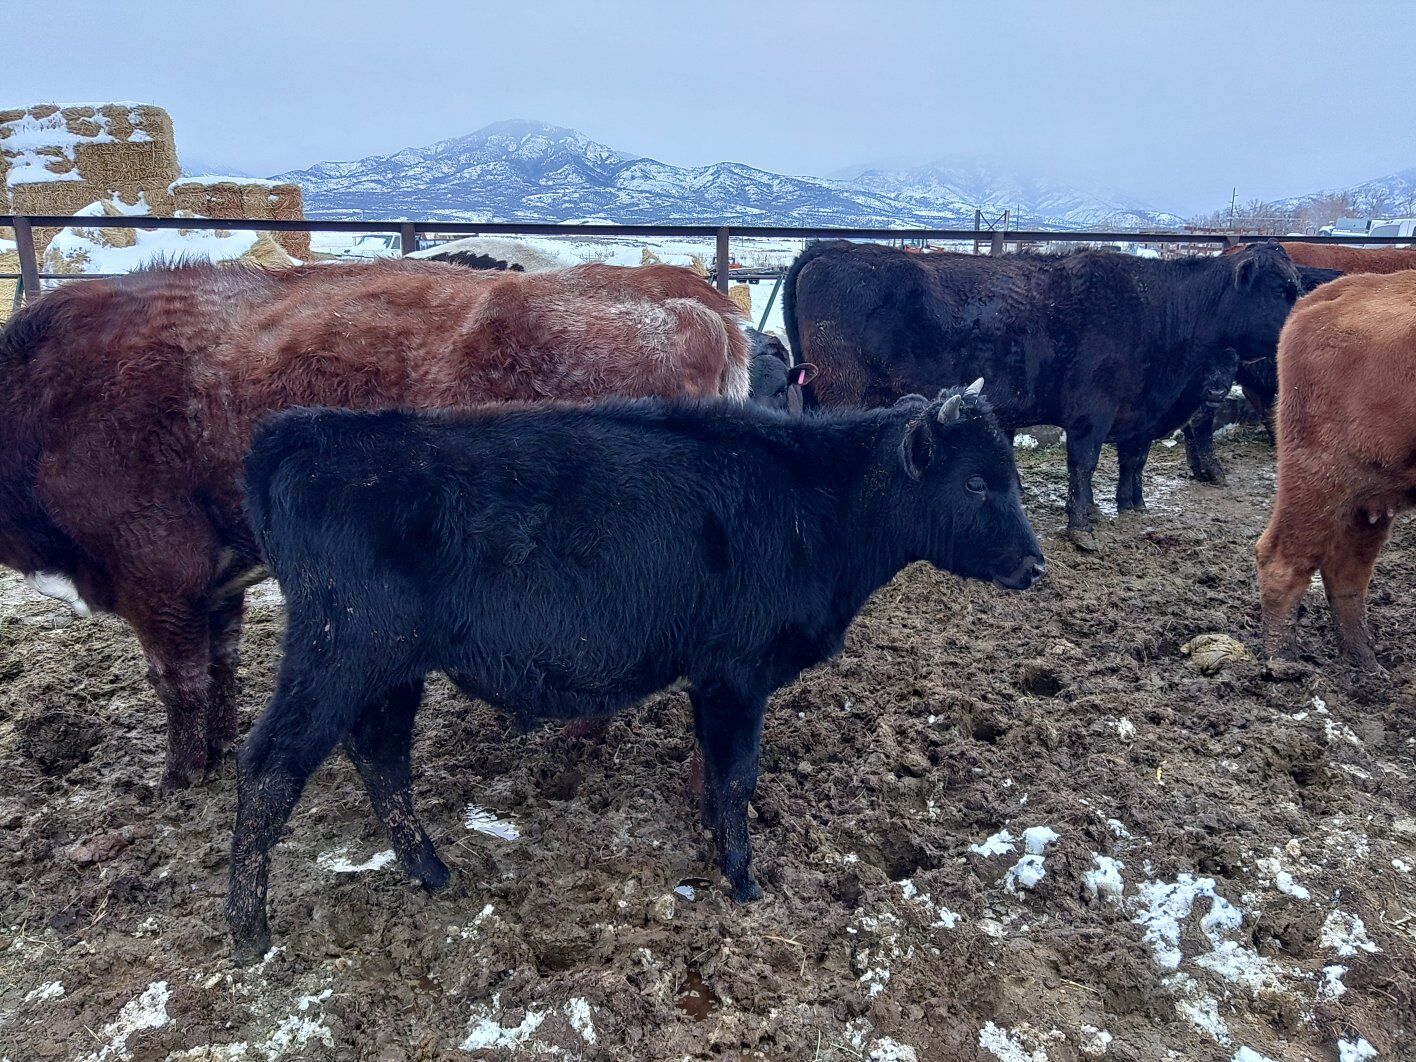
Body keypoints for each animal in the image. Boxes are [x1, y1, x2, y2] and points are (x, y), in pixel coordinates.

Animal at [0, 259, 752, 792]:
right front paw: (217, 752)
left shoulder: (156, 573)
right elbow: (221, 668)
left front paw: (178, 777)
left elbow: (177, 681)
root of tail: (684, 293)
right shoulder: (213, 581)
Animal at [227, 386, 1045, 961]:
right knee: (270, 768)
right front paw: (741, 878)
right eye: (977, 484)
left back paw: (430, 870)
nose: (1036, 564)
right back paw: (248, 933)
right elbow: (738, 775)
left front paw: (714, 845)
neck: (813, 503)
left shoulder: (712, 676)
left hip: (389, 667)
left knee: (381, 755)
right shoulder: (737, 670)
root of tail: (303, 434)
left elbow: (715, 772)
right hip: (339, 652)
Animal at [783, 241, 1302, 543]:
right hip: (845, 392)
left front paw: (1130, 507)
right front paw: (1082, 525)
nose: (1302, 323)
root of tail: (833, 248)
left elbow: (1133, 460)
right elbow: (1084, 464)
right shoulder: (1092, 414)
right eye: (1281, 288)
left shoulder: (1136, 414)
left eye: (1294, 284)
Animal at [1256, 270, 1416, 675]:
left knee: (1347, 571)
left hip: (1370, 497)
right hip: (1320, 478)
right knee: (1284, 558)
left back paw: (1366, 664)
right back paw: (1283, 663)